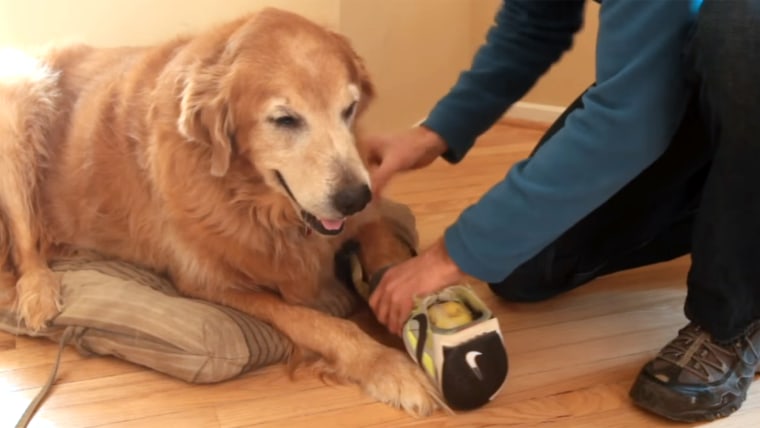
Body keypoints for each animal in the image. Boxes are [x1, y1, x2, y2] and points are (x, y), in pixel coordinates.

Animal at [0, 6, 440, 414]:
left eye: (349, 110)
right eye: (285, 119)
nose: (353, 197)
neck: (253, 201)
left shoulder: (360, 211)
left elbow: (383, 243)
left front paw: (406, 299)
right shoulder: (208, 282)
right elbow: (315, 322)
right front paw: (387, 366)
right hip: (21, 102)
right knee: (26, 244)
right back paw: (39, 293)